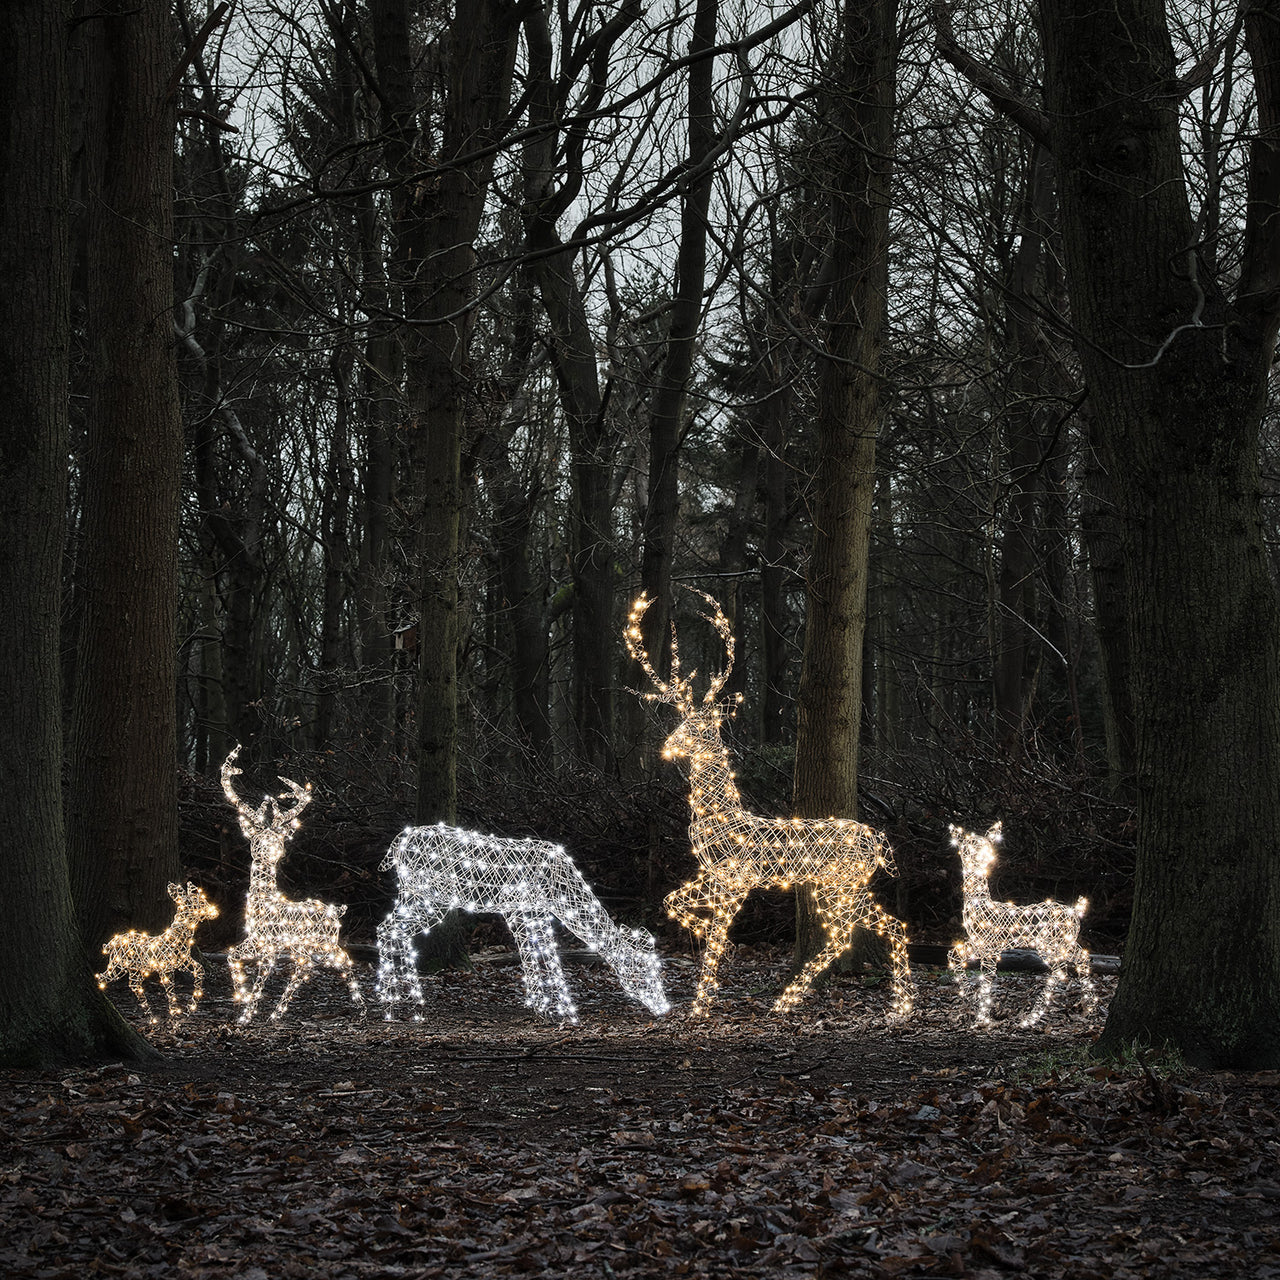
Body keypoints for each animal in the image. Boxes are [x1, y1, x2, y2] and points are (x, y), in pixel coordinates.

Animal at [95, 882, 219, 1023]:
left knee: (133, 984)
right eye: (201, 903)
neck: (178, 939)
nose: (215, 911)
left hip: (134, 969)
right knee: (103, 976)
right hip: (118, 965)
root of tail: (111, 943)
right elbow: (170, 991)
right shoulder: (164, 967)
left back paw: (151, 1018)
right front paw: (175, 1017)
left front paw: (190, 1007)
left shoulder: (183, 961)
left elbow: (200, 969)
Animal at [221, 746, 365, 1023]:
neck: (263, 904)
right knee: (307, 966)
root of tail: (337, 911)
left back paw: (362, 1008)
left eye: (278, 839)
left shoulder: (269, 946)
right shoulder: (254, 941)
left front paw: (247, 1014)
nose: (273, 851)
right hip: (307, 946)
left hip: (322, 942)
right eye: (256, 839)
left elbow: (261, 979)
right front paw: (240, 1000)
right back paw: (277, 1013)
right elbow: (231, 955)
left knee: (339, 960)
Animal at [378, 823, 670, 1025]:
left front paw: (545, 1008)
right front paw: (561, 1012)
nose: (664, 1007)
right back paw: (396, 1003)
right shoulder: (521, 911)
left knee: (390, 929)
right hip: (427, 896)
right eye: (645, 972)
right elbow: (539, 955)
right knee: (389, 929)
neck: (560, 891)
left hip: (416, 896)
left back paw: (404, 1002)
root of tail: (399, 842)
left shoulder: (529, 911)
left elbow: (540, 954)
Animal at [626, 590, 914, 1018]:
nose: (667, 748)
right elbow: (671, 902)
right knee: (877, 926)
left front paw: (701, 1003)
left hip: (841, 882)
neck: (717, 814)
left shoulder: (736, 877)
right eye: (680, 723)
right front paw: (715, 967)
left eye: (698, 728)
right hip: (840, 884)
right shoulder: (714, 875)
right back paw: (884, 1003)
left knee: (860, 929)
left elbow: (715, 931)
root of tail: (877, 838)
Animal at [947, 822, 1096, 1027]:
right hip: (1064, 943)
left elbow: (987, 978)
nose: (984, 856)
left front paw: (983, 1019)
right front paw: (972, 1001)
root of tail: (1075, 911)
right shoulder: (980, 944)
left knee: (1061, 970)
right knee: (1081, 957)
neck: (978, 903)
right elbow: (953, 956)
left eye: (984, 844)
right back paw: (1089, 1007)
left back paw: (1032, 1017)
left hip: (1050, 944)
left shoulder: (991, 947)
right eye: (967, 845)